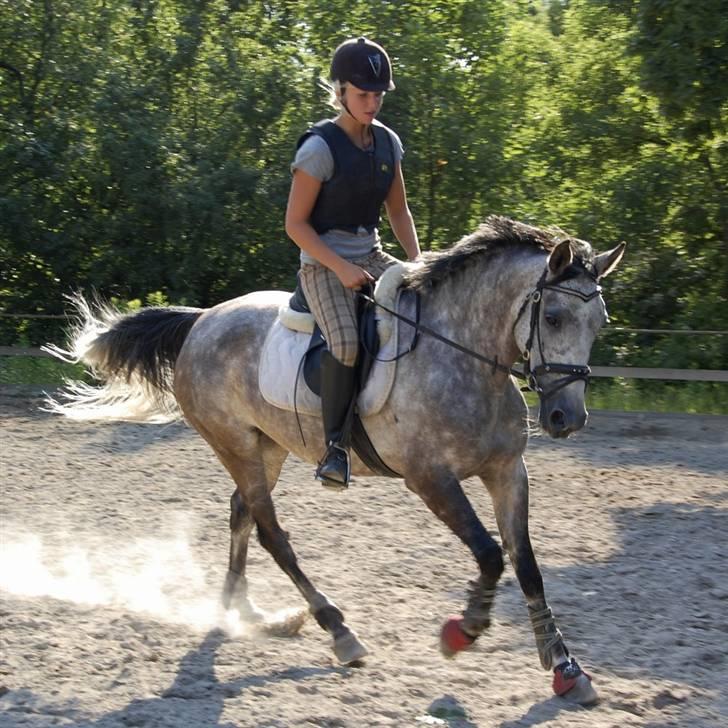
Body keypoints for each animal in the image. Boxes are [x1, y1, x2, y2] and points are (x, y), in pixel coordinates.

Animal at [47, 218, 624, 704]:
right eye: (553, 317)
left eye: (599, 322)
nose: (566, 417)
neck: (466, 356)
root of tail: (202, 321)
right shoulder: (430, 479)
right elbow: (489, 555)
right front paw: (462, 632)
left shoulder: (507, 472)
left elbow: (526, 564)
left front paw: (564, 667)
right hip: (234, 443)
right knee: (270, 531)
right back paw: (337, 629)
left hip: (267, 446)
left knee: (241, 511)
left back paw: (243, 613)